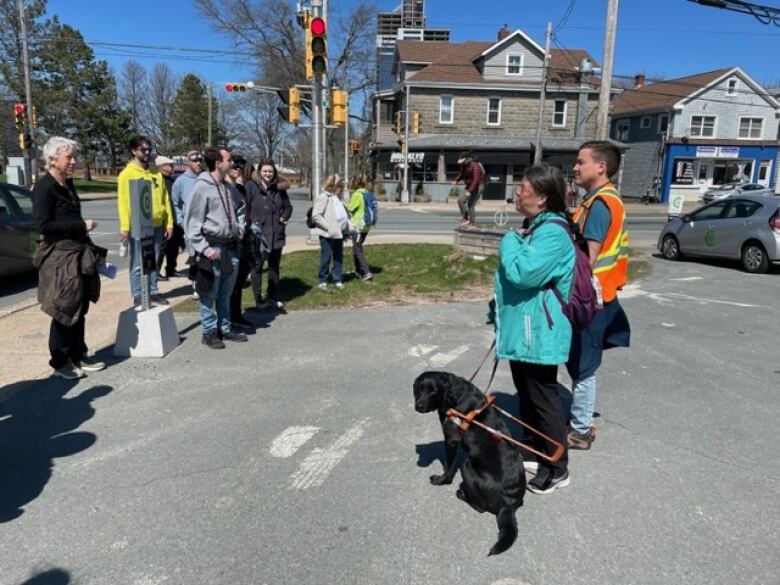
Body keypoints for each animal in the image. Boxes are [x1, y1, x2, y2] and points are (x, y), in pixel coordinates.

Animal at [414, 372, 524, 556]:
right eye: (419, 388)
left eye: (434, 390)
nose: (419, 406)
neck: (455, 394)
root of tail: (508, 505)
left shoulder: (451, 439)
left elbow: (449, 466)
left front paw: (441, 480)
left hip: (467, 466)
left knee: (480, 507)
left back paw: (462, 493)